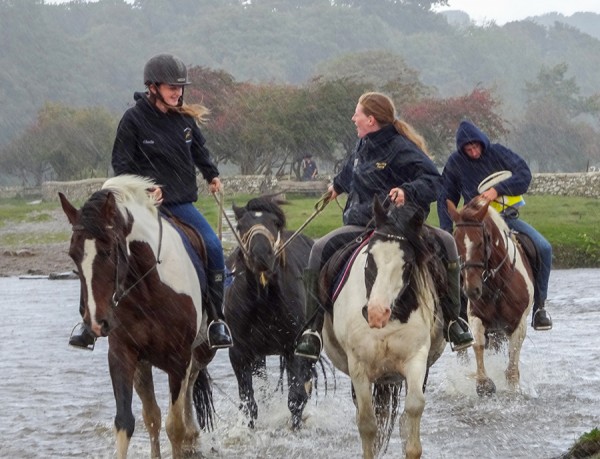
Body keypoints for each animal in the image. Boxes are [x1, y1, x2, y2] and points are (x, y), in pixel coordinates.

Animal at [58, 176, 217, 459]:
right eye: (73, 255)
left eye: (108, 251)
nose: (96, 323)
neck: (148, 287)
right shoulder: (123, 354)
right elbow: (126, 422)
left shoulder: (179, 359)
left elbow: (174, 426)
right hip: (144, 366)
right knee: (152, 415)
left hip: (199, 354)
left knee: (187, 396)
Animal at [224, 198, 314, 432]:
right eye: (240, 226)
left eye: (275, 223)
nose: (261, 255)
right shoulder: (240, 353)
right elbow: (249, 403)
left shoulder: (293, 348)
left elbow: (296, 398)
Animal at [324, 200, 446, 459]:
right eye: (370, 258)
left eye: (407, 263)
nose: (376, 313)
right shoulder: (359, 368)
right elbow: (368, 424)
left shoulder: (416, 359)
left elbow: (413, 408)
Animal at [446, 196, 536, 398]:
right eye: (456, 242)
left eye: (481, 242)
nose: (471, 290)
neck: (497, 285)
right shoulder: (476, 317)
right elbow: (478, 345)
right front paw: (483, 384)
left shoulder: (518, 324)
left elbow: (512, 367)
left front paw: (512, 391)